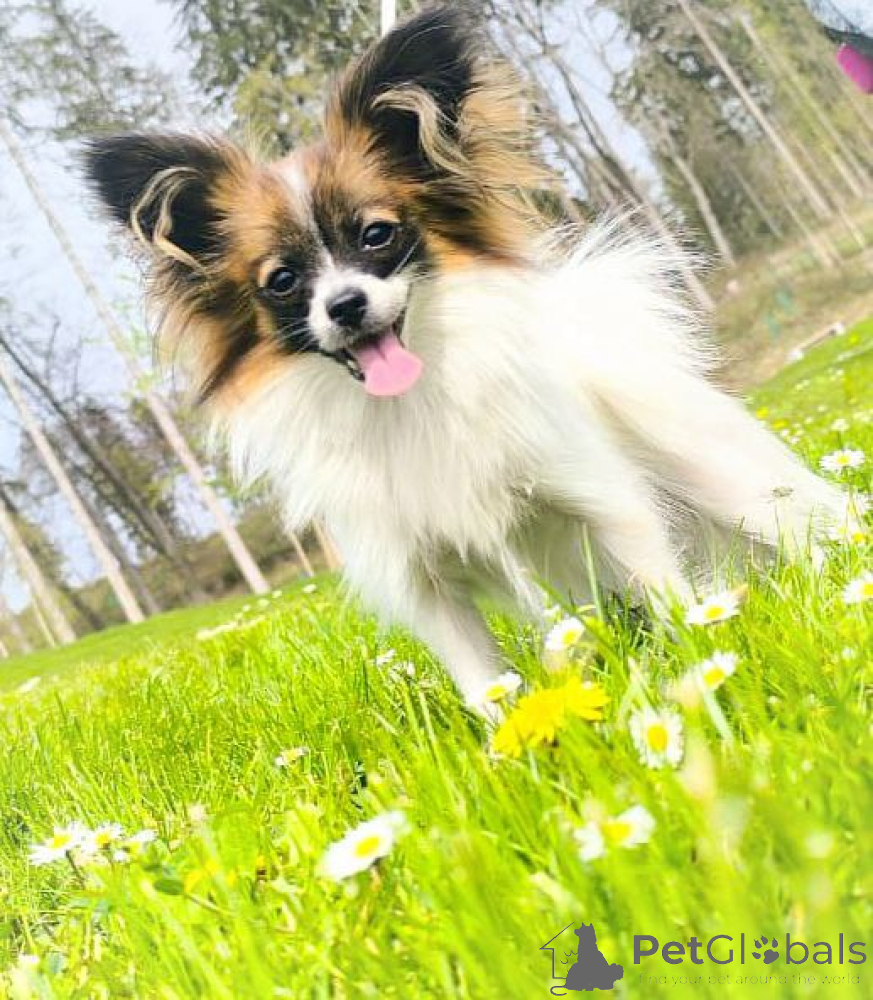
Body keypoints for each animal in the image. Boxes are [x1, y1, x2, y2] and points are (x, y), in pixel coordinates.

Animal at [85, 5, 854, 711]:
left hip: (725, 478)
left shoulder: (605, 502)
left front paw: (699, 675)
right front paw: (509, 747)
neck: (410, 399)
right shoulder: (426, 584)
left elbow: (668, 593)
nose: (345, 306)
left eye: (376, 235)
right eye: (281, 280)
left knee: (807, 522)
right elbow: (484, 686)